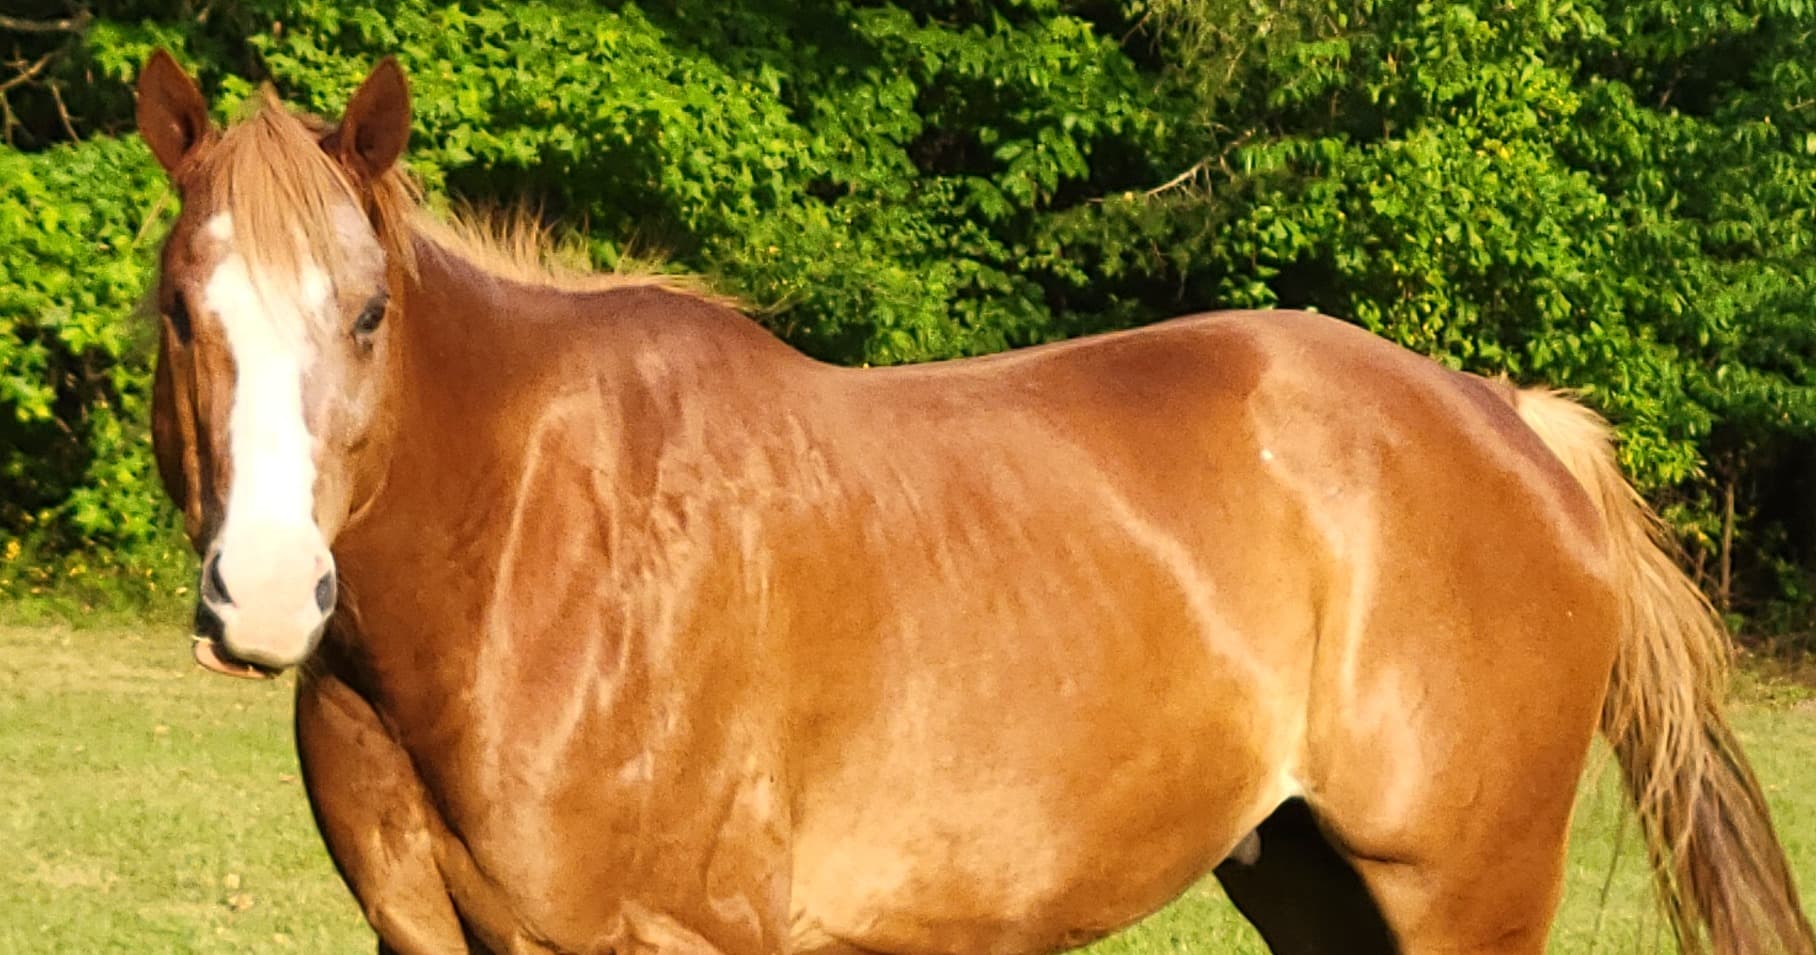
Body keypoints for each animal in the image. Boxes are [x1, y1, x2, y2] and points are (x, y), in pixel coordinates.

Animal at [133, 50, 1812, 955]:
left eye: (366, 313)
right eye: (176, 308)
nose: (266, 593)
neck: (530, 558)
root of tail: (1509, 421)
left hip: (1464, 887)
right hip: (1317, 880)